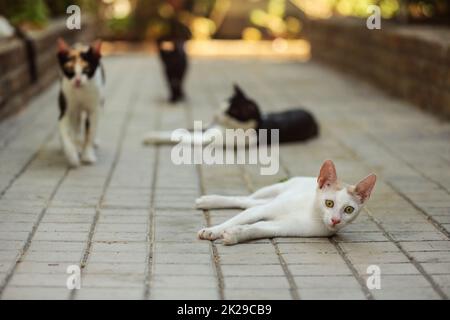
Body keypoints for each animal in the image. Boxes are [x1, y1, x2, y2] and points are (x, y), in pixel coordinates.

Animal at [56, 38, 104, 168]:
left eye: (86, 69)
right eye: (69, 70)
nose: (77, 80)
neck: (81, 93)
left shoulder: (94, 109)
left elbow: (90, 131)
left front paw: (87, 156)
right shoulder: (66, 108)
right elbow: (66, 133)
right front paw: (72, 155)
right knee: (75, 124)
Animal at [142, 84, 318, 146]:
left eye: (230, 112)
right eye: (222, 105)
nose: (215, 115)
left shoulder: (207, 136)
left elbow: (182, 136)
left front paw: (152, 137)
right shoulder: (206, 127)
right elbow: (183, 130)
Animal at [197, 160, 376, 245]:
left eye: (349, 210)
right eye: (329, 203)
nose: (335, 220)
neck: (310, 213)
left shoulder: (282, 227)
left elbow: (256, 228)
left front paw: (235, 234)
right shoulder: (262, 212)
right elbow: (234, 220)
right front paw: (213, 231)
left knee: (249, 203)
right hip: (273, 190)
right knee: (245, 200)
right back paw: (210, 200)